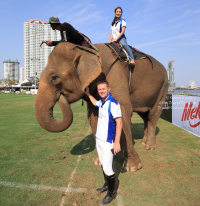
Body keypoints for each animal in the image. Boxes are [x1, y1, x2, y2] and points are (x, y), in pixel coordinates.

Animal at [35, 41, 168, 171]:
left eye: (54, 78)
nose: (61, 95)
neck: (89, 50)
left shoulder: (115, 75)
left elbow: (123, 112)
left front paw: (133, 167)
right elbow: (94, 117)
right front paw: (98, 162)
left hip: (163, 88)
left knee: (153, 116)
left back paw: (149, 146)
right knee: (145, 116)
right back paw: (144, 142)